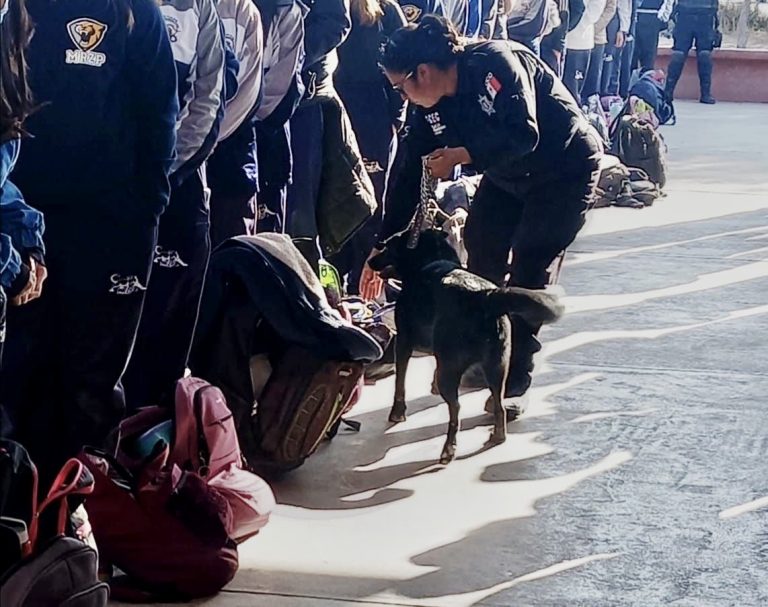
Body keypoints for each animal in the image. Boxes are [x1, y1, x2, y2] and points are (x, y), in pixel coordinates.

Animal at [368, 230, 560, 464]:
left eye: (389, 246)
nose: (370, 261)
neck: (431, 260)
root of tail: (485, 298)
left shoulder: (404, 342)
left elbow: (400, 384)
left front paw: (397, 413)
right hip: (498, 367)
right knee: (499, 406)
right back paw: (498, 435)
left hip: (452, 368)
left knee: (456, 411)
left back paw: (449, 449)